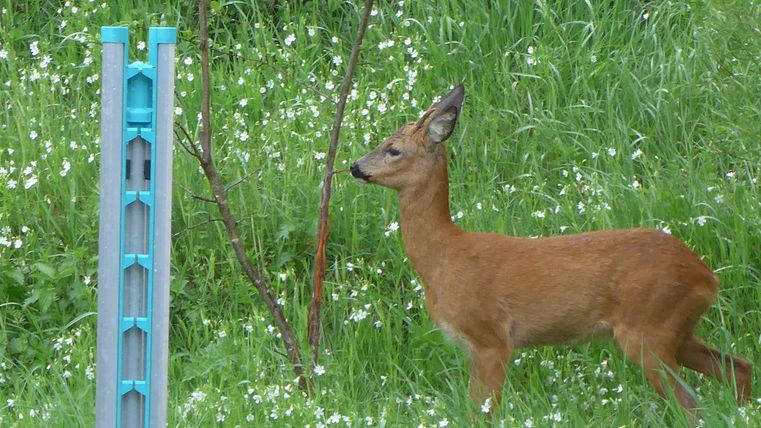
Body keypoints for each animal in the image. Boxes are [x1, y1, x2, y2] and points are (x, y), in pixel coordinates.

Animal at [350, 85, 752, 414]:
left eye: (393, 149)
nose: (354, 167)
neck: (443, 258)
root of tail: (707, 277)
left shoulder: (490, 337)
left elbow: (484, 412)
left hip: (650, 326)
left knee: (691, 401)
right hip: (674, 329)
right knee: (738, 367)